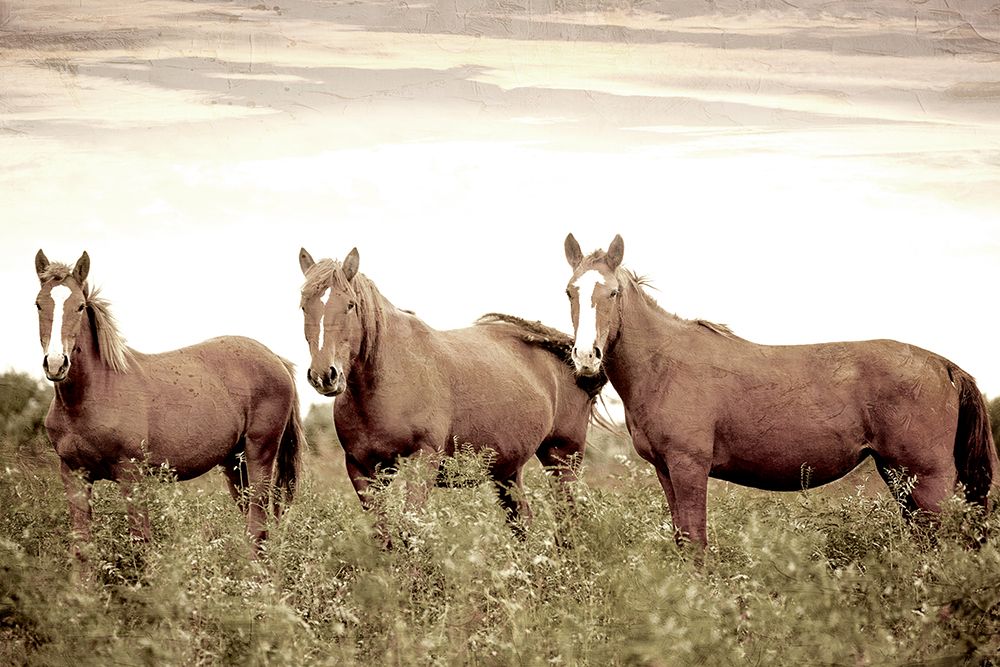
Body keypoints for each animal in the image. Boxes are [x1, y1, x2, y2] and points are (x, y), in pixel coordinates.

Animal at [33, 250, 304, 562]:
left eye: (79, 306)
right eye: (38, 304)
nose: (56, 363)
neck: (91, 395)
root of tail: (276, 358)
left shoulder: (131, 475)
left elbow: (140, 543)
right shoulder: (74, 476)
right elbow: (81, 548)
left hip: (259, 454)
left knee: (257, 523)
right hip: (234, 464)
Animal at [297, 247, 605, 539]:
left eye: (349, 304)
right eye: (303, 305)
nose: (325, 375)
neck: (387, 379)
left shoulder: (422, 461)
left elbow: (410, 529)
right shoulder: (362, 469)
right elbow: (383, 534)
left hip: (562, 460)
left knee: (567, 518)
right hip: (507, 471)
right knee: (522, 521)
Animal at [561, 233, 996, 549]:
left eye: (612, 293)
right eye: (570, 291)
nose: (586, 356)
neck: (664, 365)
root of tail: (944, 365)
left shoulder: (689, 467)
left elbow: (697, 542)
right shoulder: (665, 470)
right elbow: (683, 541)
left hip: (927, 478)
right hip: (899, 475)